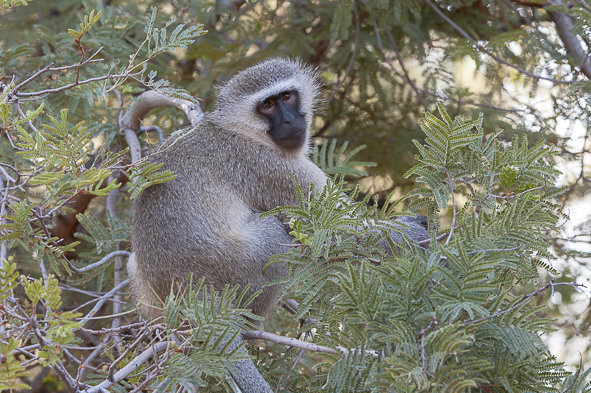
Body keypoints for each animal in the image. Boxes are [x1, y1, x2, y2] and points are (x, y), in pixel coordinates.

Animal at [128, 56, 426, 390]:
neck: (242, 131)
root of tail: (191, 292)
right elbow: (334, 231)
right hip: (239, 271)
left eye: (286, 97)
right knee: (274, 235)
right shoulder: (275, 171)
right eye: (267, 106)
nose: (289, 122)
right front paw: (415, 232)